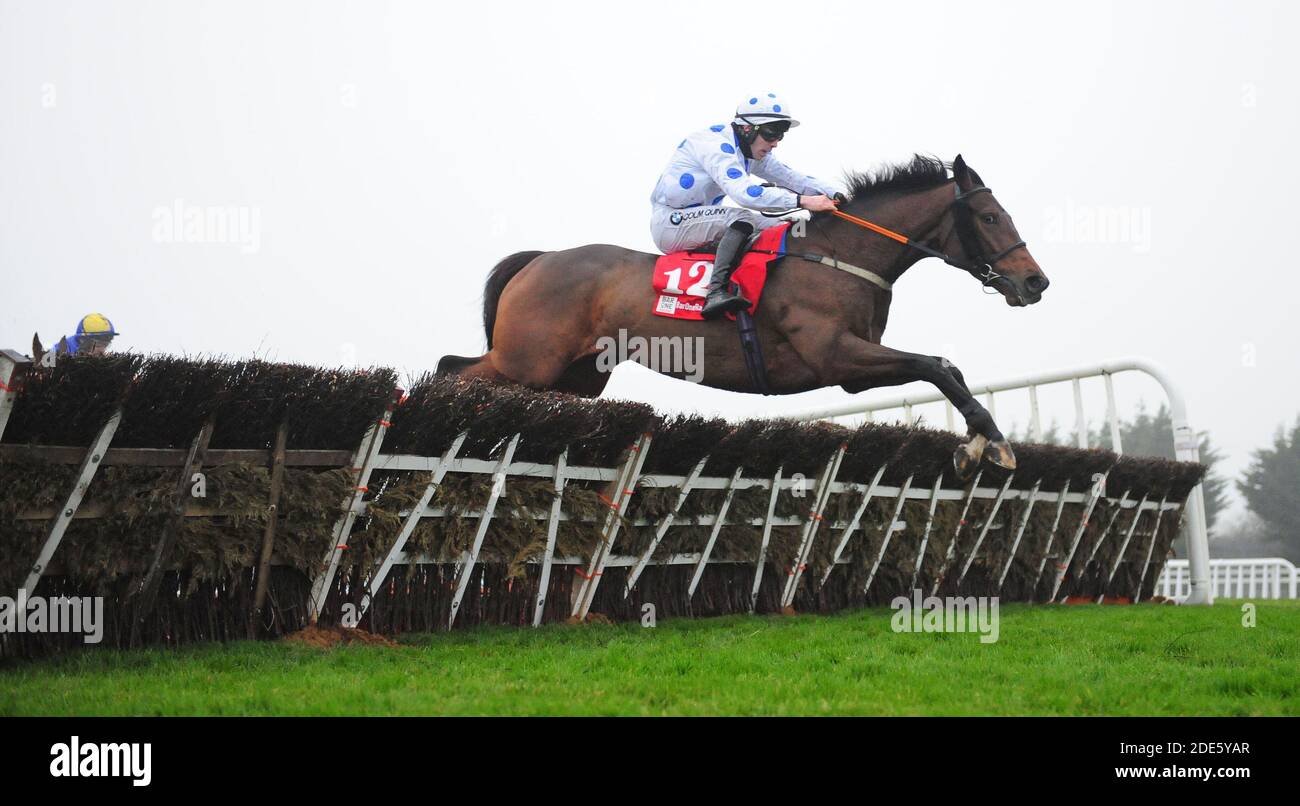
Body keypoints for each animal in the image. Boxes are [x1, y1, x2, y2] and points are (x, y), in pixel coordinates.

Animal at [441, 154, 1050, 475]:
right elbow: (936, 365)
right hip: (527, 361)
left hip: (575, 378)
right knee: (454, 371)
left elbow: (946, 367)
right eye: (991, 217)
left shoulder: (854, 366)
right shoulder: (837, 358)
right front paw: (992, 443)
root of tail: (539, 259)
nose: (1035, 282)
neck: (839, 255)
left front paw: (976, 442)